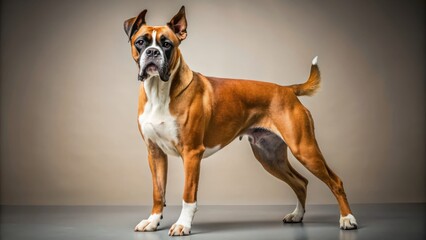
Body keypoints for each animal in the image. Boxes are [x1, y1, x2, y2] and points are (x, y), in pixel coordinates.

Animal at [124, 5, 360, 236]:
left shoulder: (191, 153)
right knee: (301, 182)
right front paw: (153, 221)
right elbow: (158, 192)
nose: (152, 52)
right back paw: (297, 215)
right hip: (270, 157)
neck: (159, 90)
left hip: (304, 149)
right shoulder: (155, 153)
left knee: (335, 181)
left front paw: (183, 225)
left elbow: (188, 195)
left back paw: (347, 219)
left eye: (167, 44)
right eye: (140, 42)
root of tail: (288, 89)